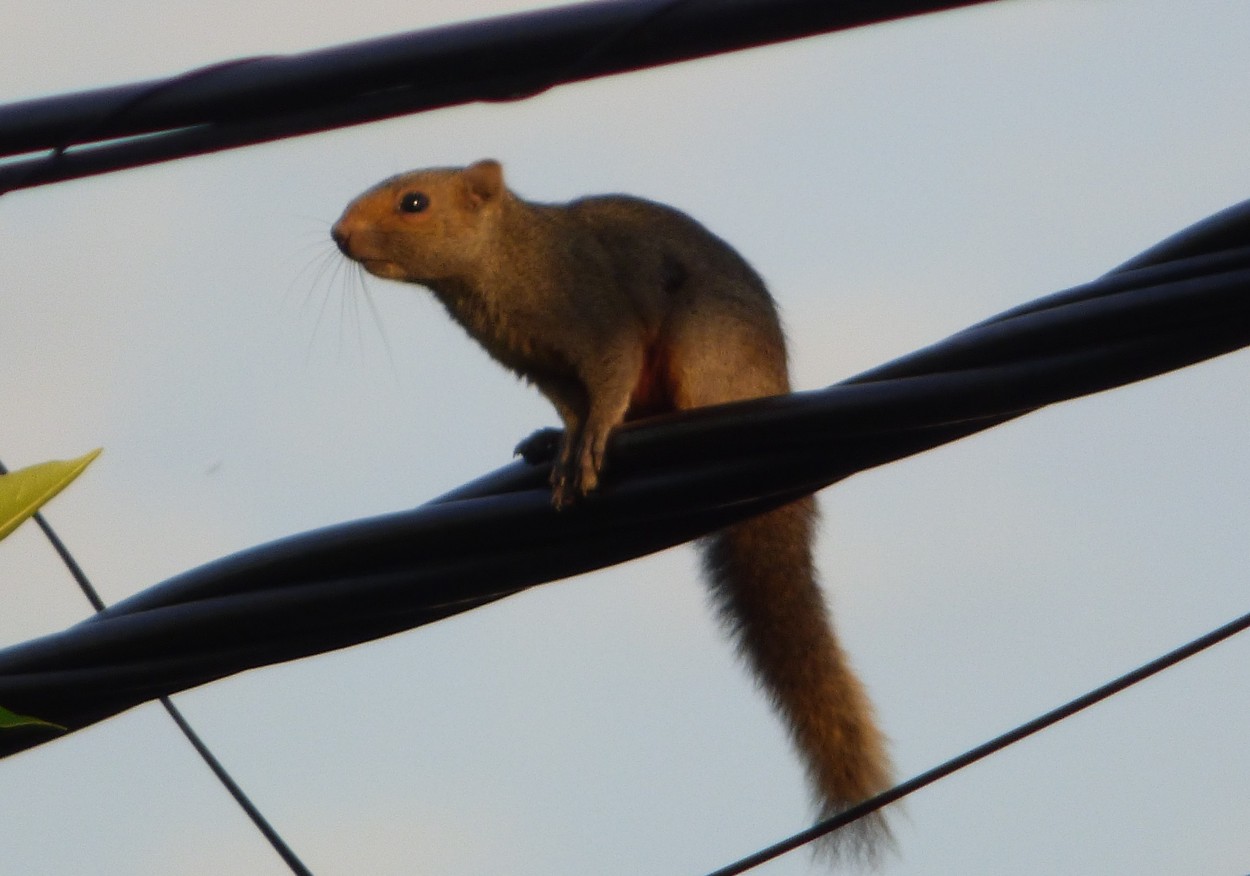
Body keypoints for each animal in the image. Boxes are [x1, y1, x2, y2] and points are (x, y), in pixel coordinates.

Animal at [332, 158, 895, 859]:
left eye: (414, 203)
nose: (339, 234)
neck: (505, 263)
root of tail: (770, 383)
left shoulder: (600, 322)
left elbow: (608, 384)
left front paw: (589, 442)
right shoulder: (541, 364)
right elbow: (573, 405)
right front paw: (563, 442)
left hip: (706, 343)